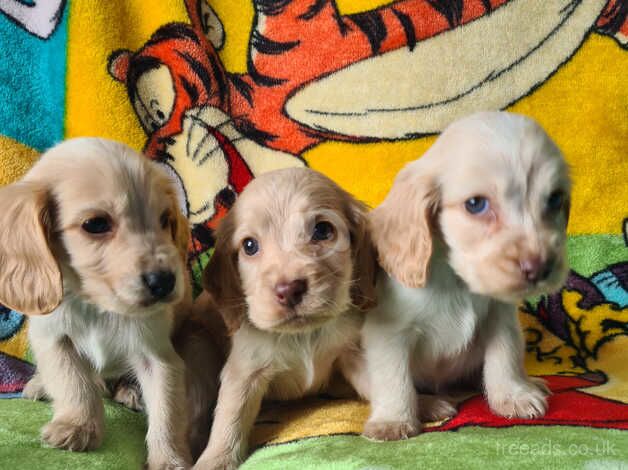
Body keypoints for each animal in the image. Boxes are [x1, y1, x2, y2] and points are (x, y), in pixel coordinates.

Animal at [0, 138, 193, 468]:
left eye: (165, 220)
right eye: (96, 224)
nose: (164, 282)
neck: (99, 305)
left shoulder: (158, 354)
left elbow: (167, 411)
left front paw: (169, 459)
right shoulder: (53, 338)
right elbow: (72, 382)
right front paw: (77, 426)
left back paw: (130, 390)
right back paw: (40, 384)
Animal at [194, 167, 376, 468]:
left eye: (322, 230)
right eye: (250, 245)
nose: (289, 290)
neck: (302, 335)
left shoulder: (351, 350)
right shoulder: (244, 371)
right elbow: (229, 419)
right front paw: (214, 460)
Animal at [360, 112, 572, 442]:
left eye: (554, 200)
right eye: (476, 204)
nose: (540, 268)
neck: (457, 282)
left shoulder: (501, 320)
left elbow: (504, 358)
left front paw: (514, 395)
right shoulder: (388, 333)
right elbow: (394, 380)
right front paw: (393, 421)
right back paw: (429, 405)